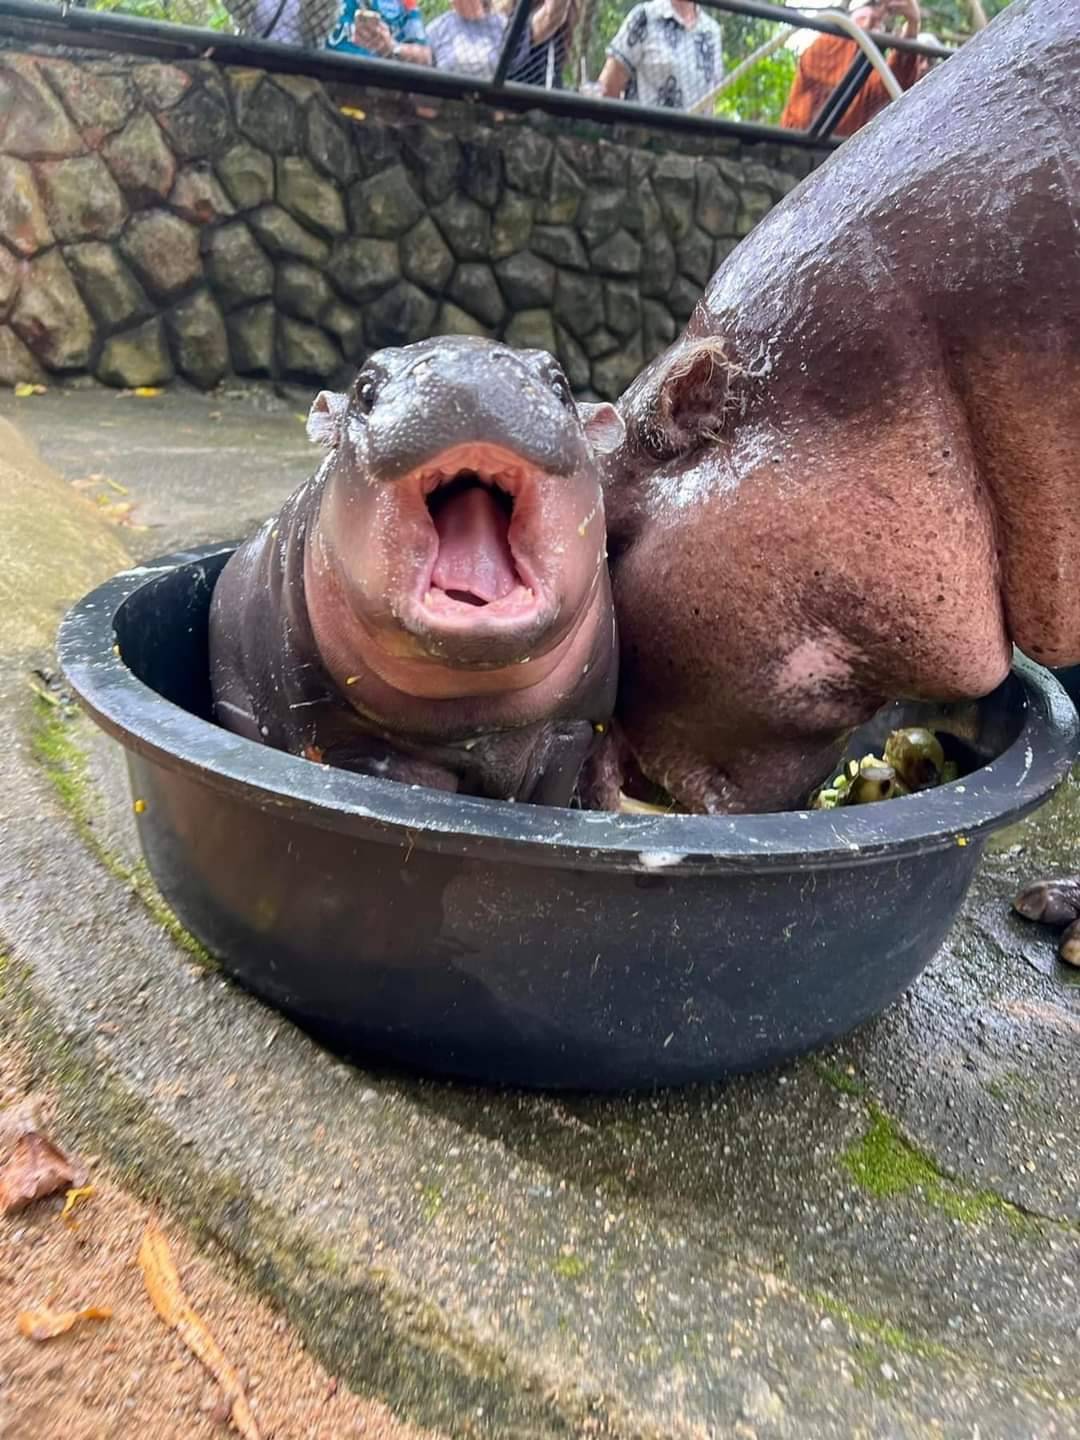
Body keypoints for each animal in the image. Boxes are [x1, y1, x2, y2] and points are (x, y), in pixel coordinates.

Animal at [208, 339, 624, 812]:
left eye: (560, 385)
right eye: (364, 389)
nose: (468, 370)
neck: (474, 708)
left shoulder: (570, 730)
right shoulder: (352, 744)